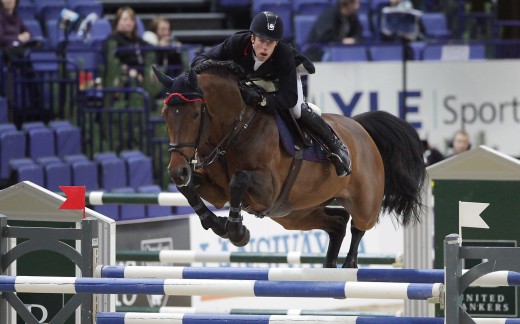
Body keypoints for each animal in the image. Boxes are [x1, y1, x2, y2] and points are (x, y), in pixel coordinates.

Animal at [151, 60, 426, 268]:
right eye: (165, 115)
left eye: (195, 114)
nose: (177, 170)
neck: (236, 128)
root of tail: (360, 128)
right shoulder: (217, 192)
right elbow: (190, 190)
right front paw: (217, 224)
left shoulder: (267, 190)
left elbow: (238, 180)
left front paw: (237, 231)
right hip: (294, 214)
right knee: (338, 222)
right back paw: (329, 267)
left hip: (364, 200)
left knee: (359, 225)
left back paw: (349, 264)